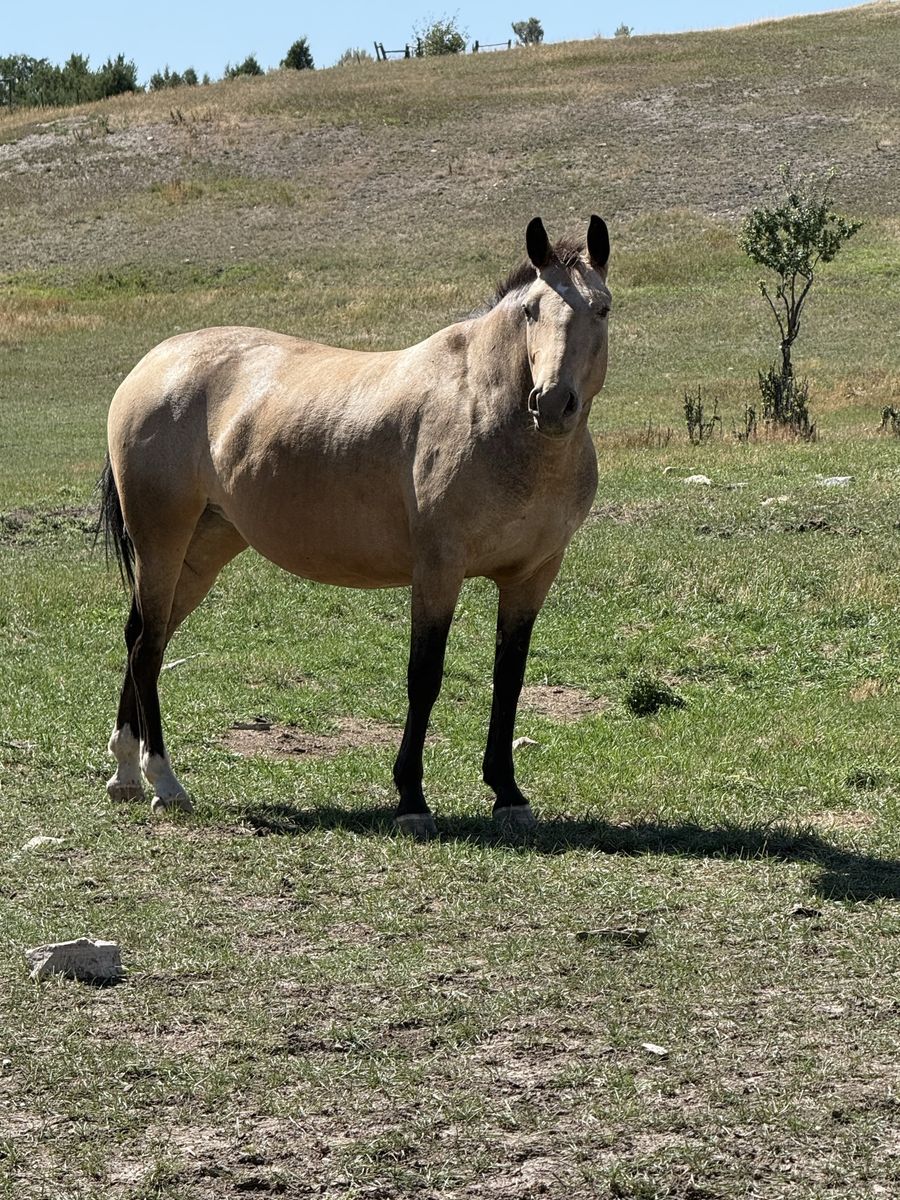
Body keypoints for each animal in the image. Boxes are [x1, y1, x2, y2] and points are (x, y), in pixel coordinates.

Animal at [98, 214, 612, 837]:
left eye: (602, 308)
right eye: (534, 310)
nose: (553, 403)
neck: (485, 410)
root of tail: (152, 367)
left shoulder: (531, 576)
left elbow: (509, 678)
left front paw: (508, 793)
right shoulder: (438, 570)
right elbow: (425, 676)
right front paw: (412, 799)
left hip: (201, 552)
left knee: (140, 638)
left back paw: (126, 774)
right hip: (162, 543)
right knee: (149, 647)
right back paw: (165, 783)